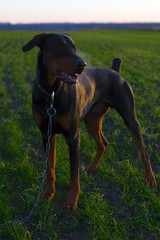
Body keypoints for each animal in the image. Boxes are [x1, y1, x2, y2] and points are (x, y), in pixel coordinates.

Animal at [22, 33, 156, 210]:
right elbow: (50, 168)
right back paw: (91, 168)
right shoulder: (47, 133)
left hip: (129, 116)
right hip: (91, 120)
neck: (51, 92)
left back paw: (150, 179)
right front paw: (47, 193)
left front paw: (71, 203)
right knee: (103, 143)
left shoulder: (73, 137)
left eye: (74, 48)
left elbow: (73, 176)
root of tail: (115, 71)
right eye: (60, 46)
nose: (82, 64)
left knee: (143, 150)